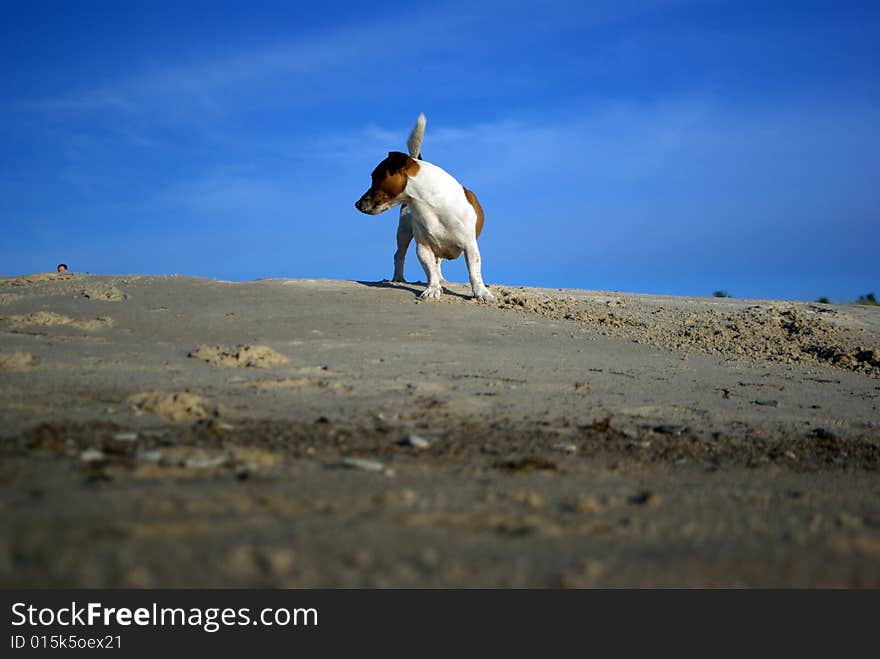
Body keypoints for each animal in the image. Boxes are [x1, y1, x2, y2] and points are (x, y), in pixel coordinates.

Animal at [356, 114, 496, 302]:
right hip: (404, 231)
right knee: (400, 255)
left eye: (374, 177)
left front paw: (482, 293)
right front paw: (433, 288)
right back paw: (398, 279)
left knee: (438, 261)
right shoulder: (423, 246)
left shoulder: (470, 245)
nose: (357, 204)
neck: (429, 203)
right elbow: (430, 270)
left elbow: (474, 272)